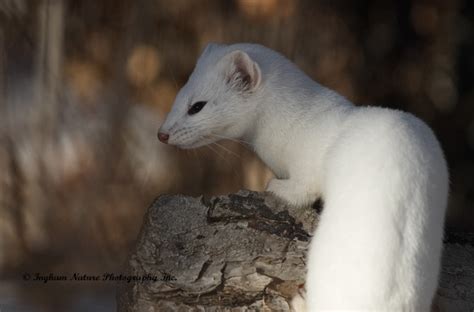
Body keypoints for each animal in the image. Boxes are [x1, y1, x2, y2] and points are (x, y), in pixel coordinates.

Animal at [158, 44, 448, 312]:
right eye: (179, 95)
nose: (162, 134)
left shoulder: (305, 169)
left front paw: (274, 186)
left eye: (197, 106)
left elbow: (301, 191)